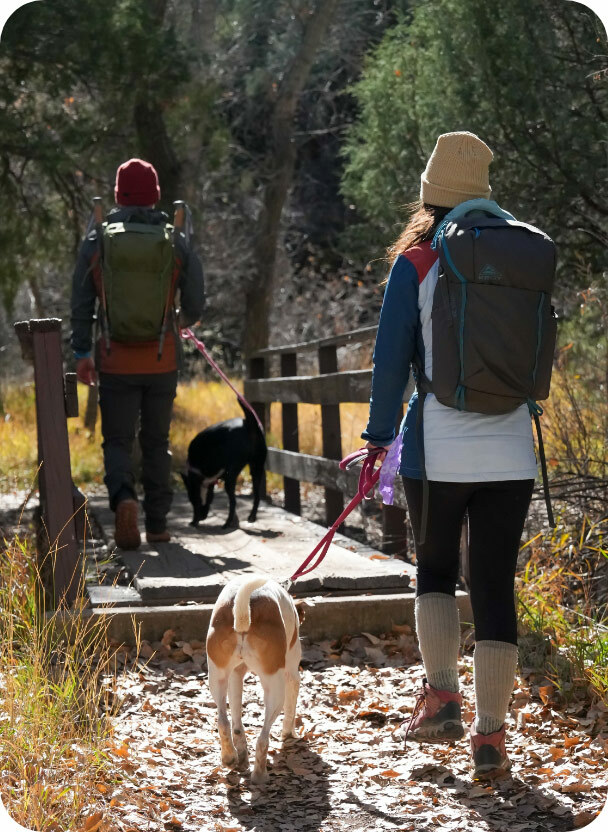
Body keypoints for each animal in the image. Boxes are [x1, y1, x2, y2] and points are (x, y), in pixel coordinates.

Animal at [205, 576, 302, 784]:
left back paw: (232, 758)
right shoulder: (292, 675)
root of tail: (243, 612)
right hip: (276, 690)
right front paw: (289, 734)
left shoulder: (236, 675)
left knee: (226, 723)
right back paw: (259, 775)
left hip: (218, 677)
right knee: (263, 738)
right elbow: (291, 711)